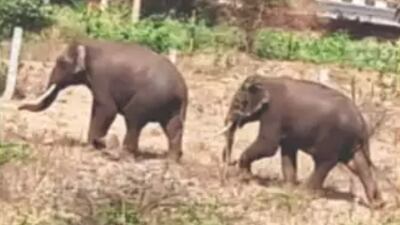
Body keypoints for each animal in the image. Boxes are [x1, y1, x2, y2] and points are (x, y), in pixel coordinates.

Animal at [17, 38, 189, 162]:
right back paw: (171, 160)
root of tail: (183, 90)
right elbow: (96, 108)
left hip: (149, 98)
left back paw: (123, 156)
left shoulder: (100, 76)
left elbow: (107, 109)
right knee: (173, 128)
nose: (18, 107)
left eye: (61, 61)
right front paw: (94, 145)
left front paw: (92, 147)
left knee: (133, 118)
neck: (89, 43)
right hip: (170, 107)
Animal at [223, 74, 382, 209]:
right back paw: (377, 204)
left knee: (324, 162)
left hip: (334, 140)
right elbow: (287, 150)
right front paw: (287, 188)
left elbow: (268, 146)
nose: (231, 162)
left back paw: (304, 193)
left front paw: (245, 176)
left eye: (237, 103)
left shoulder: (274, 114)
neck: (266, 79)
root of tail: (361, 122)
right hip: (351, 143)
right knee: (358, 164)